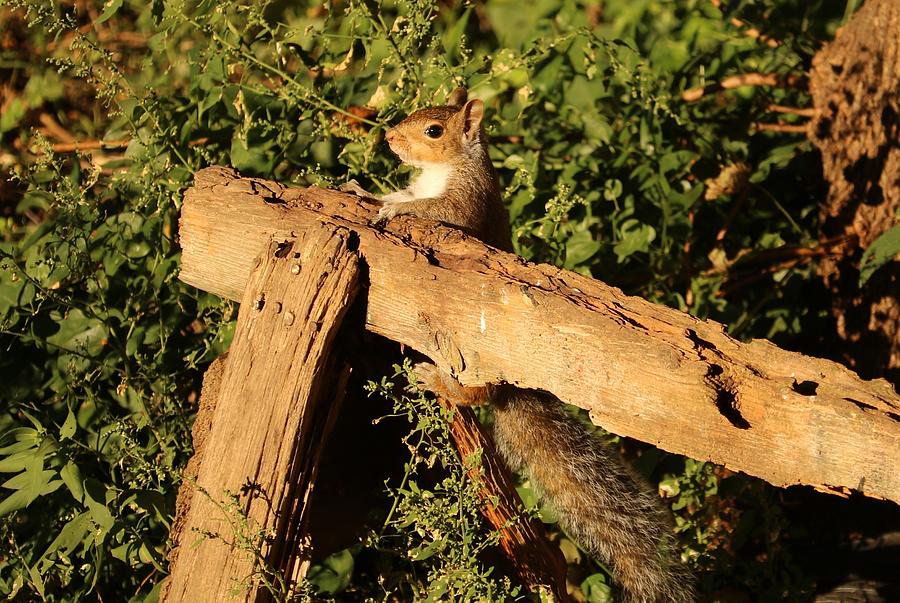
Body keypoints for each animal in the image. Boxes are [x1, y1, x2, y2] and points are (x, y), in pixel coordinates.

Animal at [342, 87, 692, 600]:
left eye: (433, 130)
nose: (388, 137)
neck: (442, 170)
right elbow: (399, 193)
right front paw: (365, 192)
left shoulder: (468, 201)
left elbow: (435, 211)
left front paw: (395, 211)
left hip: (475, 360)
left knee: (475, 393)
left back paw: (436, 379)